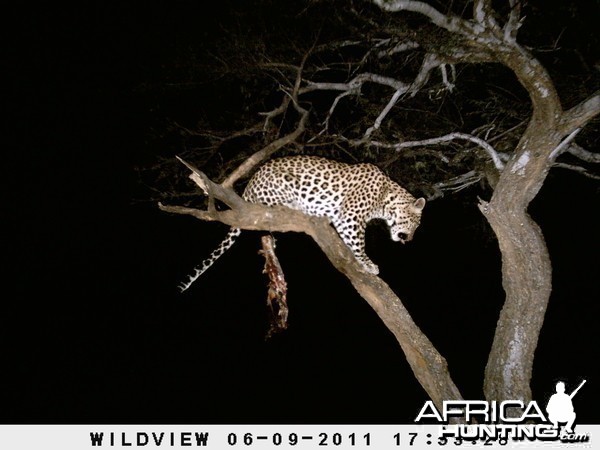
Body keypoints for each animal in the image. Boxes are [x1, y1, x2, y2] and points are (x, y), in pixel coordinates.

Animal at [178, 155, 426, 292]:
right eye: (416, 224)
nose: (411, 239)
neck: (385, 197)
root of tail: (248, 187)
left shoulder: (344, 218)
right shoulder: (351, 217)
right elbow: (359, 244)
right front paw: (369, 264)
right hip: (283, 185)